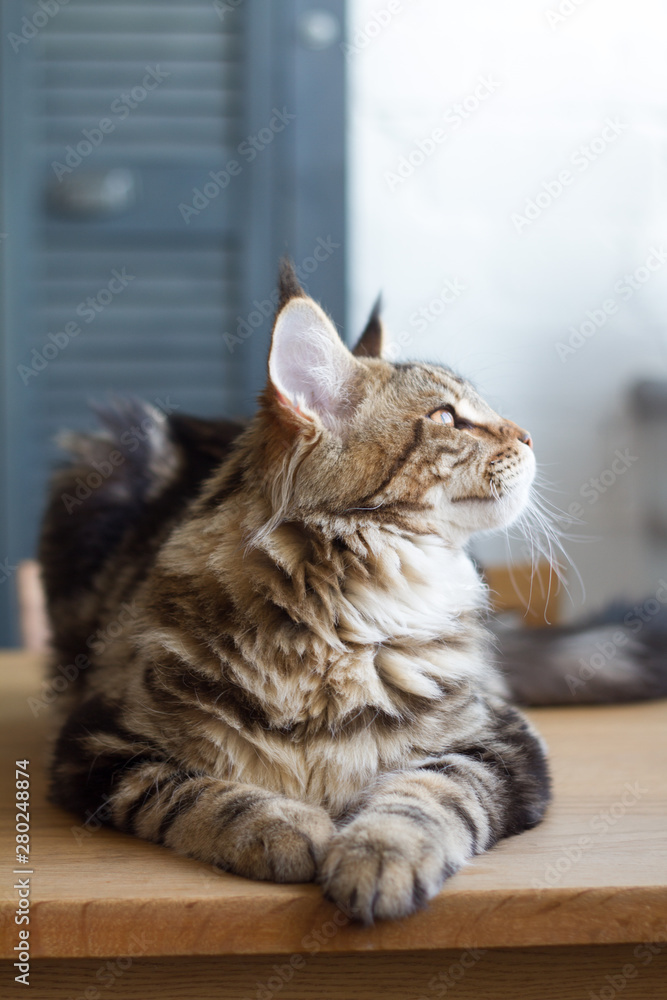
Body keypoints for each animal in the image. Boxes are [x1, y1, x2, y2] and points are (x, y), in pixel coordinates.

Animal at [41, 264, 667, 920]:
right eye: (447, 418)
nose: (528, 436)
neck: (336, 630)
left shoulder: (500, 740)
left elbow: (424, 793)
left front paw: (378, 857)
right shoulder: (101, 745)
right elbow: (200, 795)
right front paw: (285, 827)